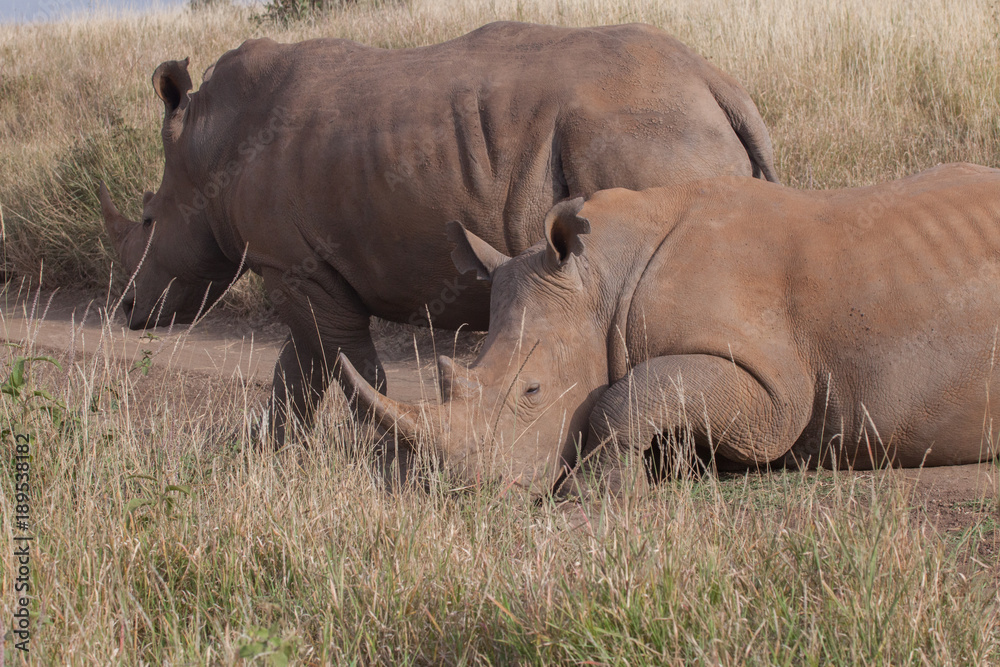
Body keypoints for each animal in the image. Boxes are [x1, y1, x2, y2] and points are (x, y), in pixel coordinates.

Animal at [98, 21, 778, 445]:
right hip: (665, 131)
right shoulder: (301, 266)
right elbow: (303, 366)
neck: (208, 142)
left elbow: (343, 364)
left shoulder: (291, 262)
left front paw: (378, 454)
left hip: (646, 136)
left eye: (148, 219)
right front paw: (266, 453)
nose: (127, 310)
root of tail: (718, 85)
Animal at [339, 163, 1000, 494]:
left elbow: (628, 396)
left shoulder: (774, 391)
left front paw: (598, 491)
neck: (602, 279)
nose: (458, 489)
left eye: (531, 391)